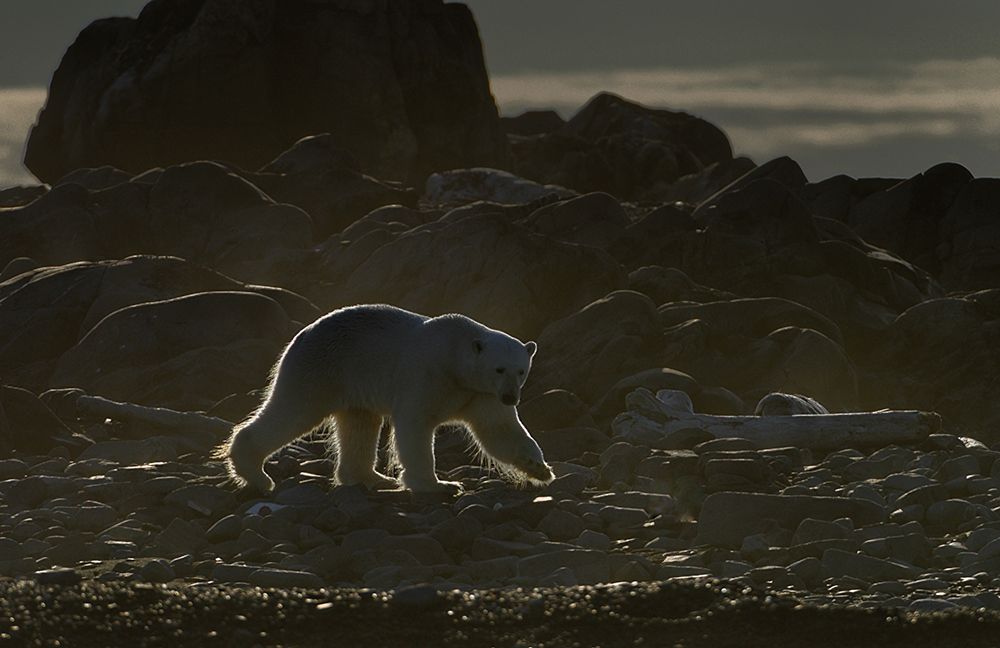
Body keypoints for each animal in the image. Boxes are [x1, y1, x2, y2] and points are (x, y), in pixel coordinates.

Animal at [214, 303, 553, 494]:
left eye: (521, 371)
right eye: (499, 368)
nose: (511, 397)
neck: (454, 357)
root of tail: (302, 334)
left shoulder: (479, 393)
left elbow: (499, 431)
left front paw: (540, 469)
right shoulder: (425, 375)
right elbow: (414, 425)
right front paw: (439, 485)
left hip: (351, 384)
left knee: (360, 425)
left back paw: (373, 478)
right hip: (321, 368)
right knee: (293, 411)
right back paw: (257, 475)